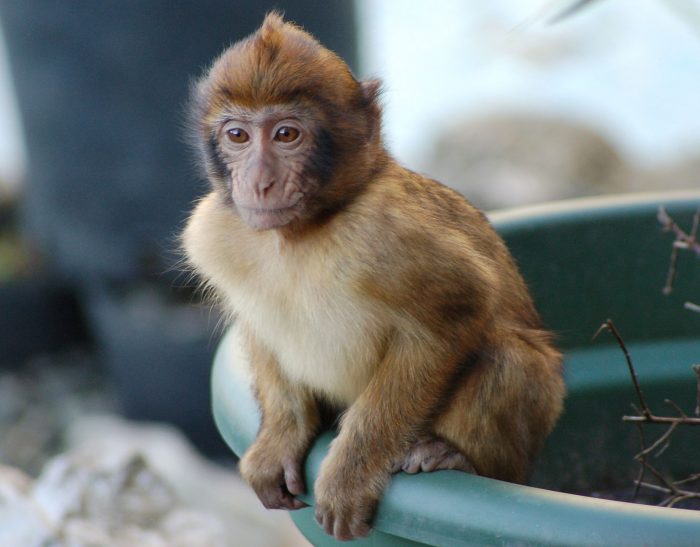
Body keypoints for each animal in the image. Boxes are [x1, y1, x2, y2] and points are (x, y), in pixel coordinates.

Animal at [180, 12, 564, 544]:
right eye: (238, 136)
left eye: (286, 135)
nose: (258, 182)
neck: (301, 232)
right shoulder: (213, 232)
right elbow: (259, 329)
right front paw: (280, 437)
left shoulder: (382, 233)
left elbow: (454, 313)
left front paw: (348, 475)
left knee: (508, 358)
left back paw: (458, 456)